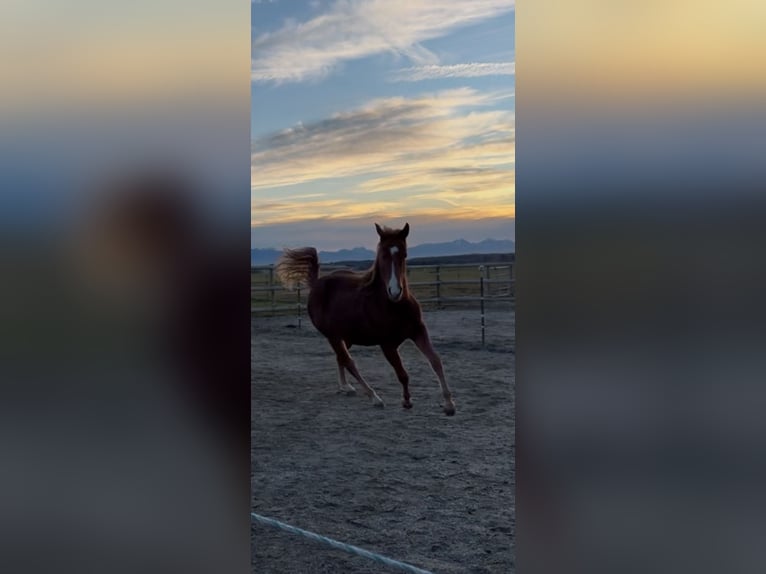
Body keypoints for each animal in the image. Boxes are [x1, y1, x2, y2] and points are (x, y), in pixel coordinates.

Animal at [276, 223, 456, 416]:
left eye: (404, 254)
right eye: (382, 255)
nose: (395, 291)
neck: (394, 306)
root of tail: (316, 283)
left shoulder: (418, 331)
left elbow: (435, 361)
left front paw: (449, 404)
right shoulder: (387, 345)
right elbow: (402, 373)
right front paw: (407, 401)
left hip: (346, 337)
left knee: (341, 358)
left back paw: (345, 387)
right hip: (333, 336)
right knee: (349, 362)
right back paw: (374, 397)